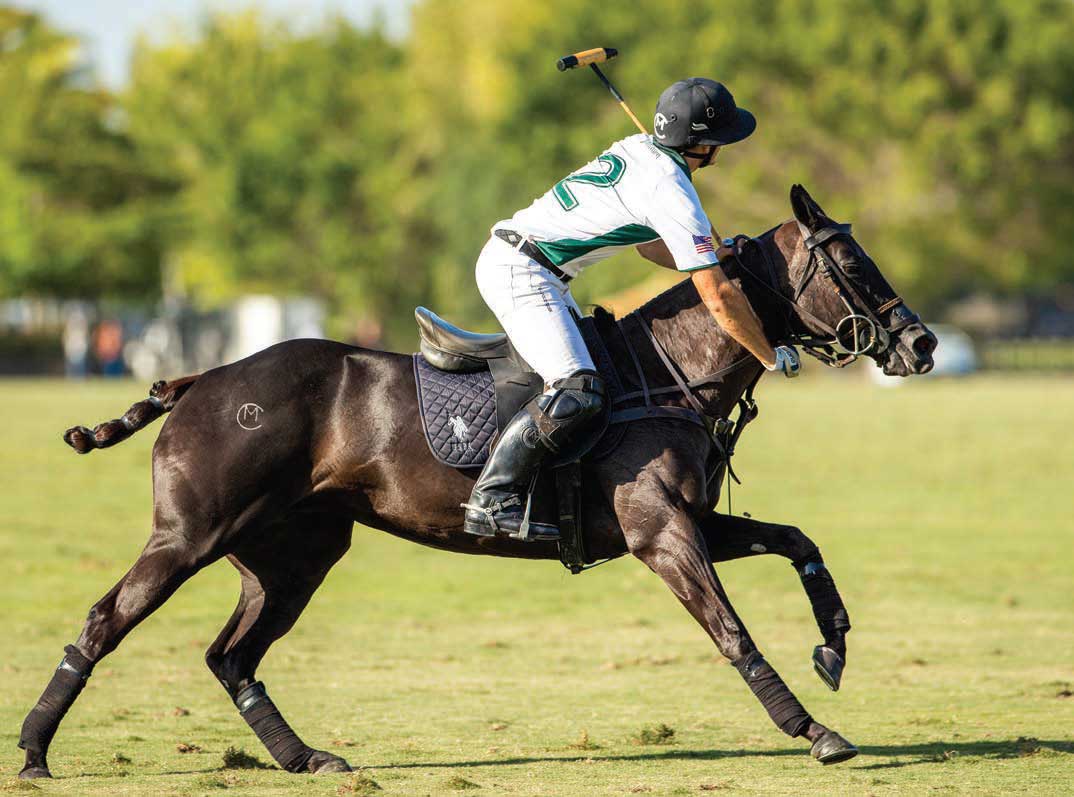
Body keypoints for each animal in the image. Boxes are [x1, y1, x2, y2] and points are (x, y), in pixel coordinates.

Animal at [18, 185, 936, 779]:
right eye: (851, 261)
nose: (921, 344)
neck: (666, 375)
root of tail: (200, 378)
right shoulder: (660, 531)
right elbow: (733, 631)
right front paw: (813, 729)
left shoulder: (690, 521)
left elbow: (797, 540)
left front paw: (834, 645)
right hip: (189, 535)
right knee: (105, 622)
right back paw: (32, 751)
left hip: (295, 553)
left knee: (232, 654)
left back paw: (306, 757)